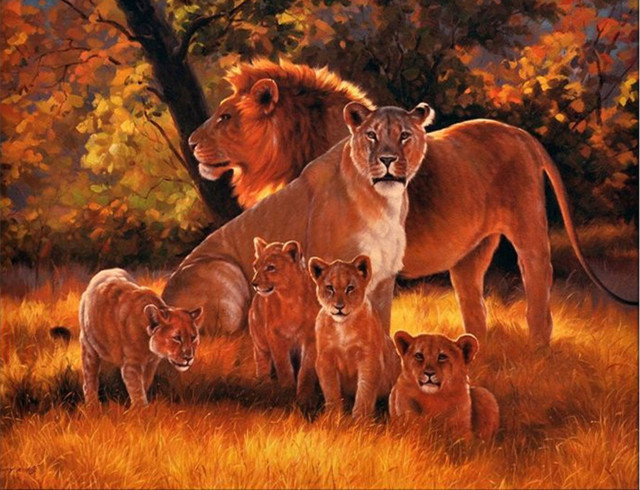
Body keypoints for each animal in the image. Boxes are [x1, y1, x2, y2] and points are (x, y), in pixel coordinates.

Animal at [79, 268, 203, 406]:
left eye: (193, 337)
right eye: (177, 337)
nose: (189, 358)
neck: (148, 346)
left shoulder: (151, 365)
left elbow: (144, 384)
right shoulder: (131, 365)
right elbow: (137, 390)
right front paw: (142, 410)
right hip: (89, 348)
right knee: (89, 380)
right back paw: (92, 405)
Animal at [163, 102, 433, 336]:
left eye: (404, 135)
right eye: (371, 135)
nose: (387, 159)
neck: (383, 202)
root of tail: (163, 302)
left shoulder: (383, 280)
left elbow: (380, 329)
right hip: (225, 273)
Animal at [248, 237, 319, 406]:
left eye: (270, 267)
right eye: (255, 266)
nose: (254, 283)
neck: (290, 299)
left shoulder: (311, 338)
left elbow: (306, 369)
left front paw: (305, 398)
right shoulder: (276, 337)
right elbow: (284, 367)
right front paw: (287, 394)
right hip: (260, 343)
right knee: (262, 363)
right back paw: (264, 386)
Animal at [309, 255, 401, 418]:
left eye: (350, 288)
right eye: (330, 288)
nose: (339, 307)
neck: (343, 327)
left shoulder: (369, 358)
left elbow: (365, 390)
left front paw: (360, 419)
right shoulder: (325, 359)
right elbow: (331, 390)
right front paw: (332, 418)